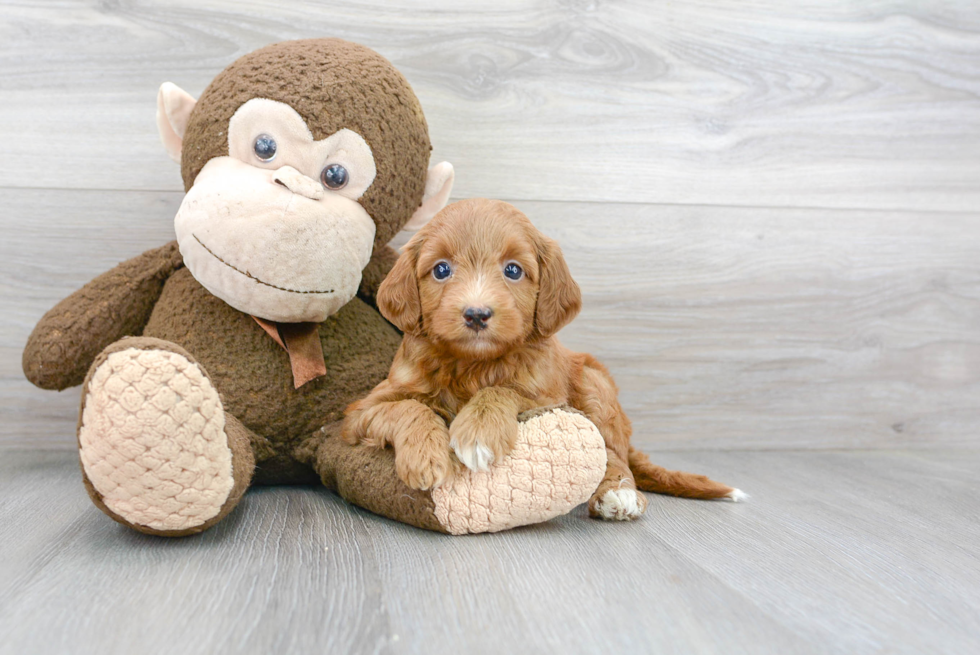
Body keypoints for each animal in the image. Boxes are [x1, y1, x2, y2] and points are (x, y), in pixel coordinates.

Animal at [340, 197, 740, 520]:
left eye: (513, 270)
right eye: (440, 269)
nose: (476, 314)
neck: (472, 364)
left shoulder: (548, 395)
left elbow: (503, 390)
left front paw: (478, 432)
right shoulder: (362, 412)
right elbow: (407, 407)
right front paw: (425, 456)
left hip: (595, 383)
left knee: (613, 452)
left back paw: (619, 493)